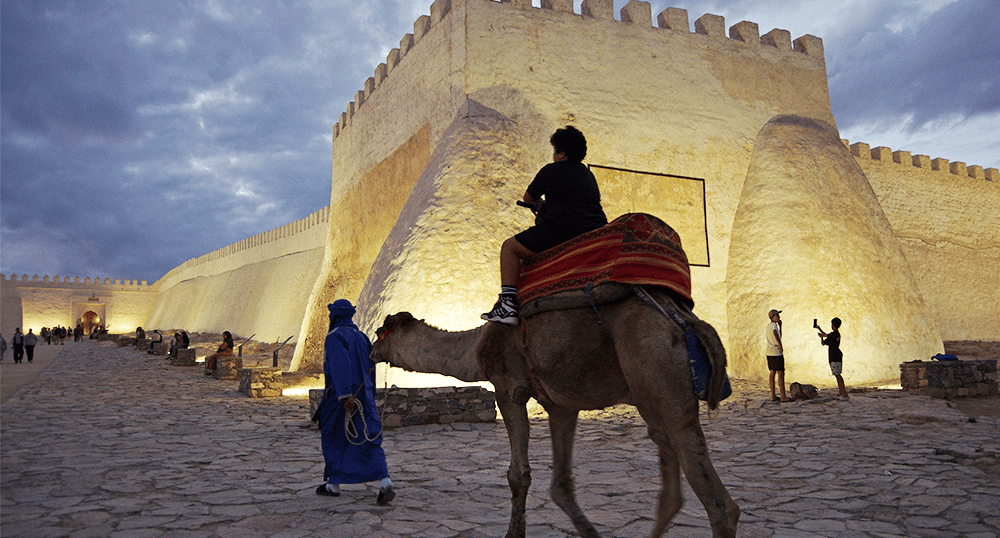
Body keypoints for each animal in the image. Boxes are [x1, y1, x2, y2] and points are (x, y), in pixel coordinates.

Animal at [372, 282, 740, 532]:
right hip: (655, 399)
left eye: (380, 331)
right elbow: (561, 484)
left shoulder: (508, 388)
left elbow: (518, 475)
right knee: (671, 486)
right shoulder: (561, 405)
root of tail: (687, 323)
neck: (475, 347)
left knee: (719, 503)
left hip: (661, 376)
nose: (372, 350)